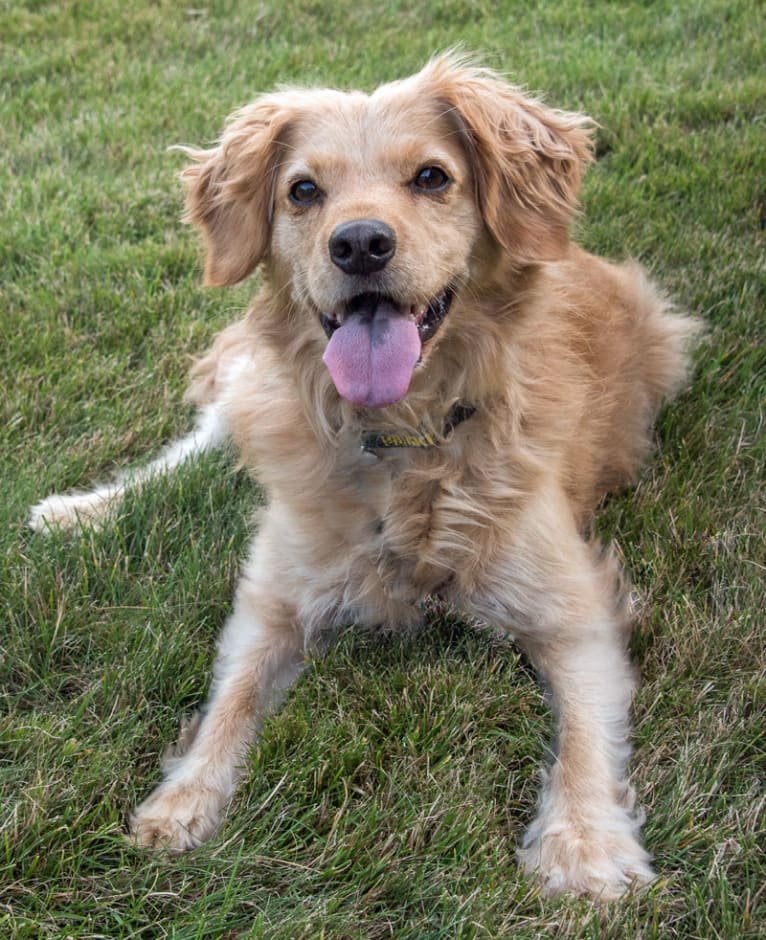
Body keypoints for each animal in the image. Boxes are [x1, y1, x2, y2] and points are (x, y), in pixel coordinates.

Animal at [31, 53, 704, 904]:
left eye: (432, 177)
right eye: (303, 191)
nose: (358, 244)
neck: (399, 441)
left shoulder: (572, 608)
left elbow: (586, 736)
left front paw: (584, 846)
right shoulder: (273, 598)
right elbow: (231, 700)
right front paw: (183, 800)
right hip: (253, 388)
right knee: (196, 446)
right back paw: (80, 511)